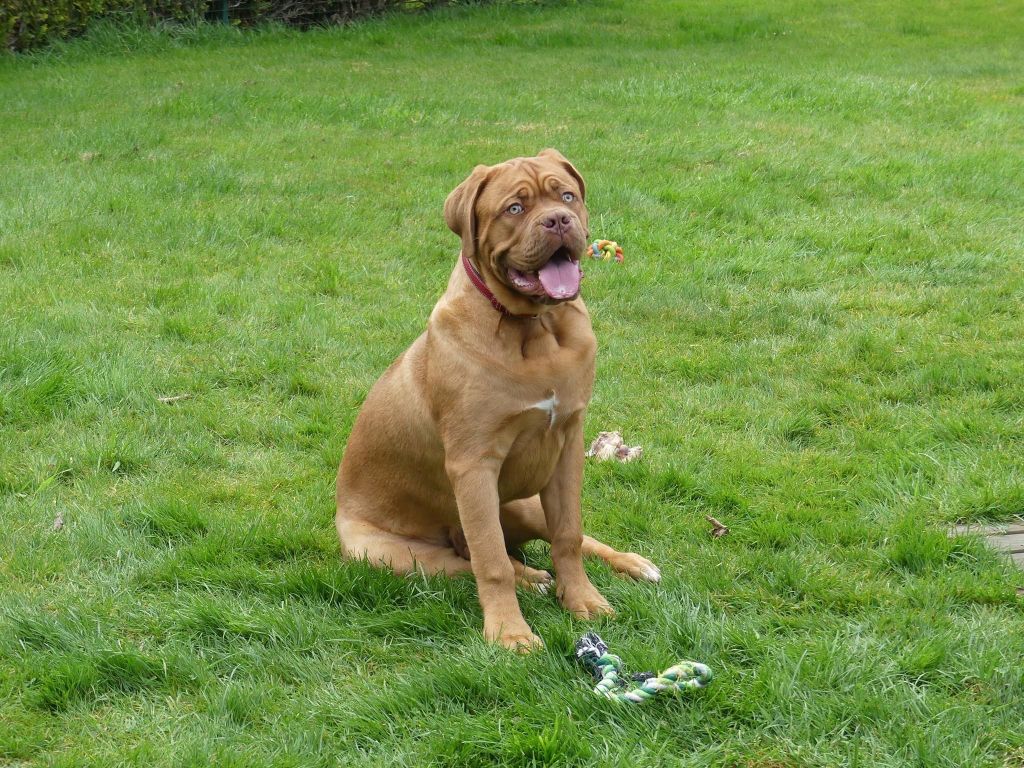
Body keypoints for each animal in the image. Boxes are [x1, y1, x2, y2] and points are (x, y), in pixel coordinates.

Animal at [335, 149, 660, 650]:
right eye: (515, 208)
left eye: (567, 196)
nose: (558, 220)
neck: (534, 328)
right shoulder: (475, 464)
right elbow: (491, 564)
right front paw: (511, 634)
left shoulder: (567, 447)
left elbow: (569, 535)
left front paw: (583, 601)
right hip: (396, 555)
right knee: (472, 562)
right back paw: (533, 579)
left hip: (521, 501)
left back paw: (631, 564)